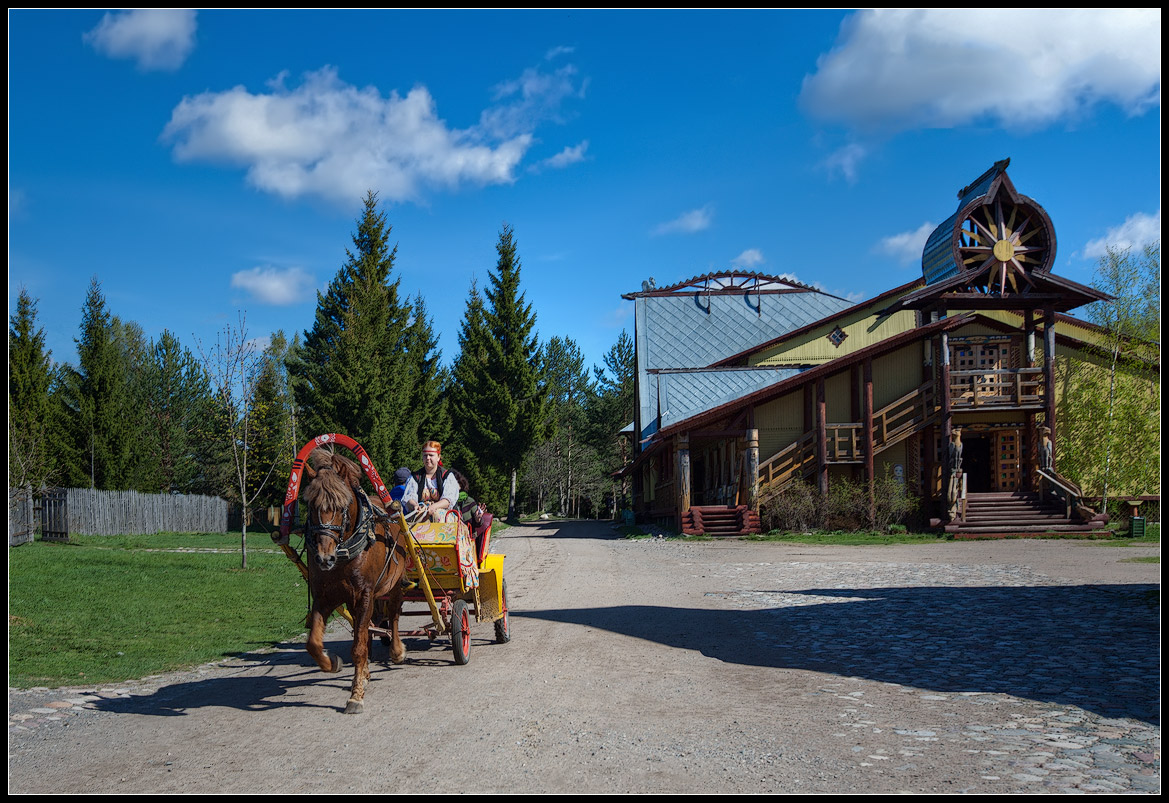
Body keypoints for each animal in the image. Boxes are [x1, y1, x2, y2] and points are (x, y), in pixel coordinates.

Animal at [299, 446, 409, 715]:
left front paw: (356, 695)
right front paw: (332, 663)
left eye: (343, 505)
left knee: (394, 615)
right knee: (368, 628)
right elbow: (313, 643)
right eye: (310, 504)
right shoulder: (324, 596)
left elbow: (358, 647)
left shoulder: (365, 595)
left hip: (393, 584)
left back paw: (397, 650)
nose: (324, 557)